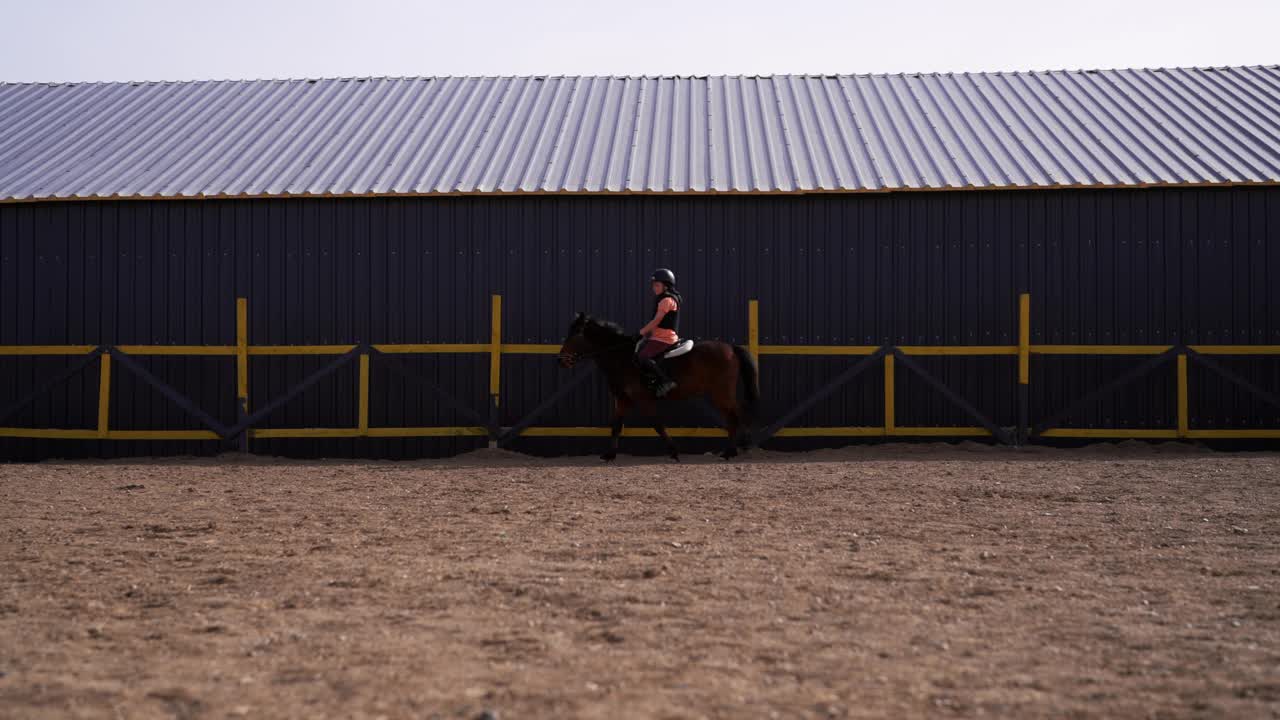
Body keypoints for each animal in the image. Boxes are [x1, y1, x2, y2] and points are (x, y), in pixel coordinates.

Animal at [560, 312, 757, 458]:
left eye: (575, 334)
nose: (561, 360)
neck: (622, 357)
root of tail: (731, 348)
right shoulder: (622, 399)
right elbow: (616, 425)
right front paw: (610, 455)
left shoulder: (643, 399)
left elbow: (657, 424)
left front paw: (673, 451)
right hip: (719, 394)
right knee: (731, 417)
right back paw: (730, 451)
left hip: (721, 392)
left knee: (737, 413)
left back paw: (741, 446)